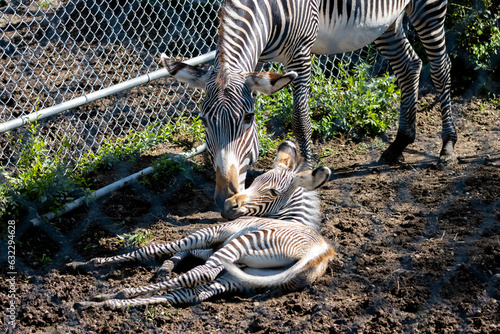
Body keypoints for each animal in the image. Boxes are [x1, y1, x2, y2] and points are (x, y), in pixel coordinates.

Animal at [69, 140, 336, 310]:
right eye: (255, 180)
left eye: (273, 192)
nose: (228, 205)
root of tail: (317, 254)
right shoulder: (222, 253)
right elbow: (182, 260)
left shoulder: (214, 232)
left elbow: (153, 248)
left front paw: (87, 263)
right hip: (250, 277)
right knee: (189, 292)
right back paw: (105, 301)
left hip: (243, 245)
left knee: (200, 274)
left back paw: (112, 294)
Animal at [163, 0, 458, 214]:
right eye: (203, 120)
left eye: (248, 118)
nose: (225, 197)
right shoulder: (257, 58)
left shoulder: (301, 55)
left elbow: (299, 117)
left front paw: (305, 167)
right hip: (387, 21)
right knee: (409, 66)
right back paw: (400, 143)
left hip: (428, 7)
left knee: (441, 69)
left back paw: (448, 145)